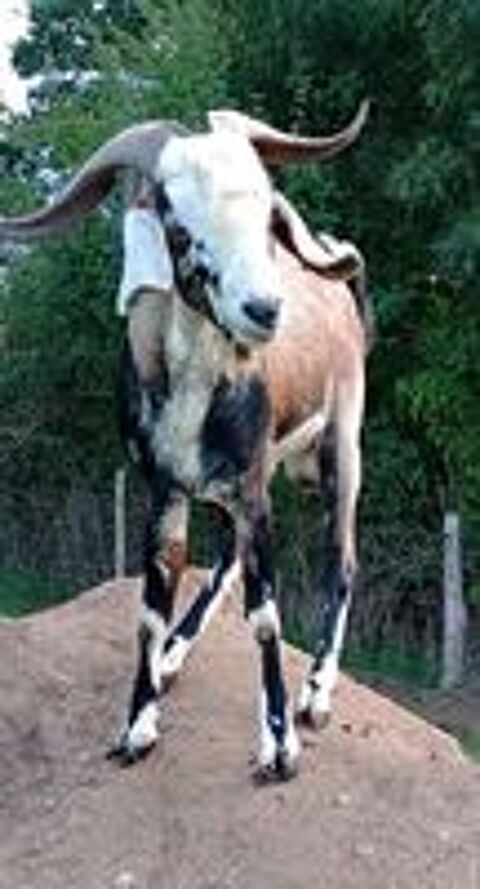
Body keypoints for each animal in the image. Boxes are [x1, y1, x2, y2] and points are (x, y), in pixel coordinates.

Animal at [0, 103, 369, 781]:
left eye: (266, 209)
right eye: (174, 214)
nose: (263, 309)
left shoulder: (252, 487)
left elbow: (265, 614)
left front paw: (279, 746)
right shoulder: (165, 489)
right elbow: (150, 609)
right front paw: (137, 725)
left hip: (341, 445)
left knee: (343, 558)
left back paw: (316, 694)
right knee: (226, 555)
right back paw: (174, 657)